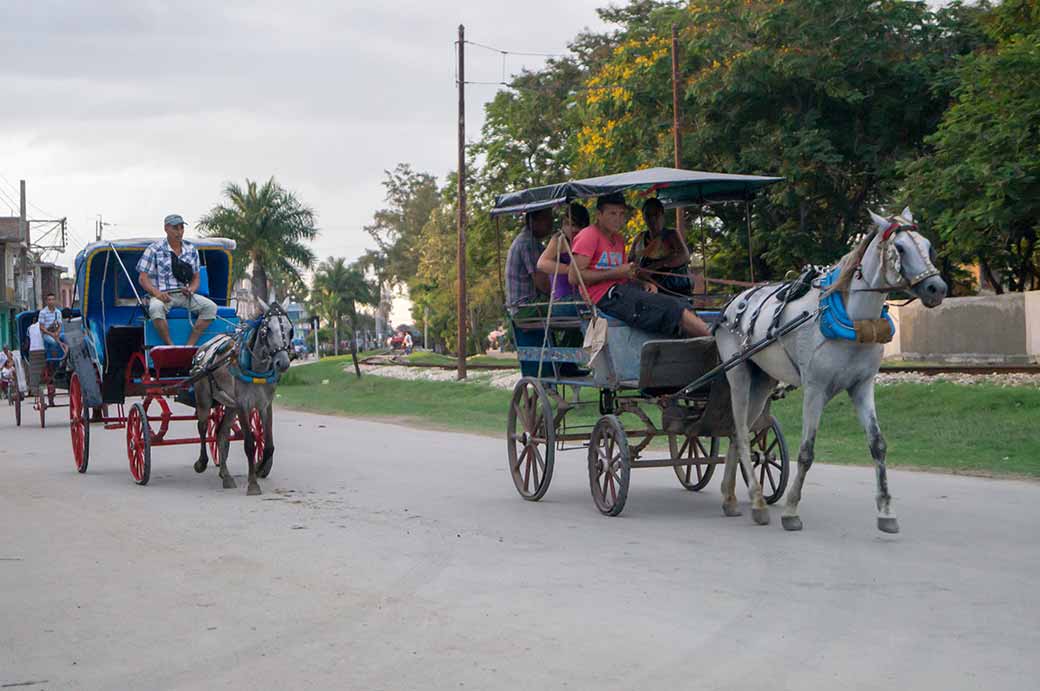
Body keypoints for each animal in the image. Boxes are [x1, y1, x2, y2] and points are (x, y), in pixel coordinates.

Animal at [192, 299, 291, 493]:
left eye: (290, 330)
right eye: (267, 330)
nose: (282, 363)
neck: (257, 370)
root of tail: (204, 348)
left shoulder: (265, 405)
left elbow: (268, 445)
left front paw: (260, 468)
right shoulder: (243, 405)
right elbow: (249, 444)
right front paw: (253, 484)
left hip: (231, 406)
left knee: (221, 433)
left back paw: (226, 475)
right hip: (204, 398)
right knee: (203, 427)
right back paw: (201, 463)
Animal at [715, 208, 952, 530]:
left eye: (928, 247)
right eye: (900, 248)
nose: (936, 288)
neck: (851, 320)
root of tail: (732, 303)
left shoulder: (862, 387)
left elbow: (878, 445)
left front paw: (886, 511)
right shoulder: (815, 389)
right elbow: (806, 451)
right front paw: (791, 511)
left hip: (762, 380)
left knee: (736, 433)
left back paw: (731, 497)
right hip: (738, 374)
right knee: (740, 432)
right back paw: (757, 502)